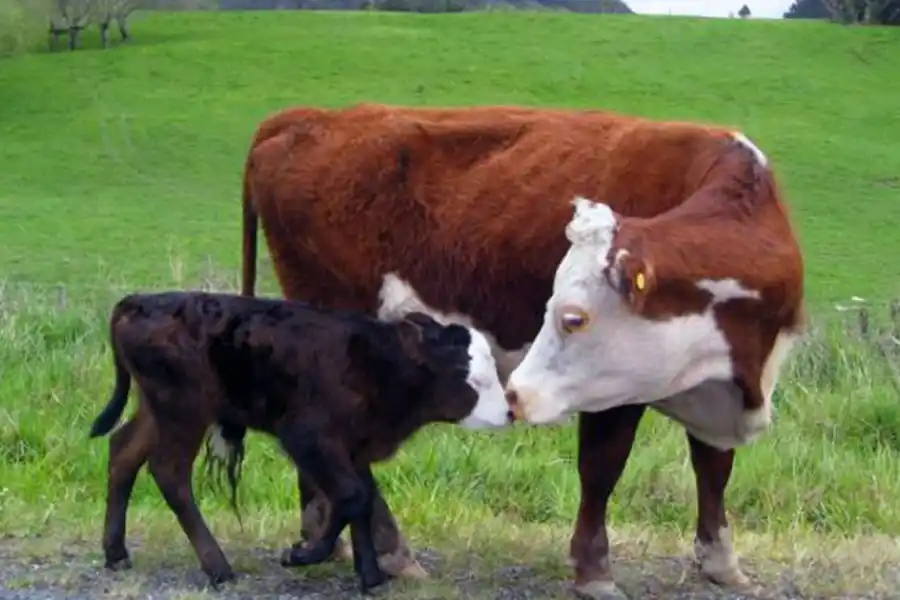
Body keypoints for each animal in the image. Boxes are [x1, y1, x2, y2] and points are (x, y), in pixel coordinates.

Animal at [87, 290, 511, 593]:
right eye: (471, 375)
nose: (509, 413)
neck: (378, 365)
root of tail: (138, 302)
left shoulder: (354, 444)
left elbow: (362, 499)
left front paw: (370, 575)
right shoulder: (306, 436)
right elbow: (351, 496)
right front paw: (304, 555)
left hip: (157, 407)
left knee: (122, 452)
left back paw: (116, 552)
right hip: (183, 409)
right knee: (169, 473)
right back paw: (218, 568)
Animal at [239, 102, 805, 599]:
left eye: (573, 316)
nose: (514, 396)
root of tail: (310, 116)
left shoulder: (719, 383)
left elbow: (714, 468)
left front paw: (721, 562)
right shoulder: (614, 389)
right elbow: (601, 470)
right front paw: (594, 572)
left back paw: (322, 536)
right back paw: (393, 552)